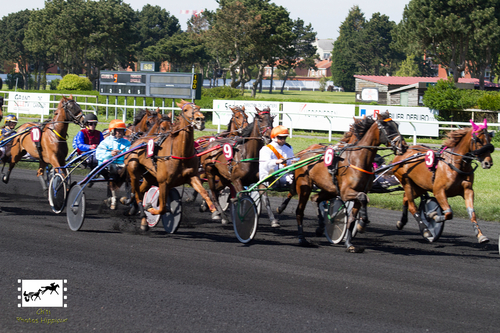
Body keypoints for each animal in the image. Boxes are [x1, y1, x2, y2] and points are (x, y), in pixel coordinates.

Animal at [123, 98, 217, 228]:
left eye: (199, 107)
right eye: (185, 109)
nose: (200, 119)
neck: (181, 152)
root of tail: (138, 141)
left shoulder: (192, 176)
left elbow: (204, 192)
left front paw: (216, 212)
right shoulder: (163, 182)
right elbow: (162, 207)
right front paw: (150, 208)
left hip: (149, 177)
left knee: (140, 191)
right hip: (134, 172)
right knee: (137, 193)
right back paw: (142, 216)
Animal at [290, 111, 406, 249]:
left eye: (397, 125)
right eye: (386, 127)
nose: (404, 146)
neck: (358, 160)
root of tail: (304, 154)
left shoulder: (358, 191)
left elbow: (355, 212)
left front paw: (349, 242)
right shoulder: (345, 192)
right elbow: (363, 198)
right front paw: (362, 223)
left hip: (330, 189)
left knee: (315, 198)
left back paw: (321, 226)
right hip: (304, 186)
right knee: (300, 211)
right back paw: (302, 238)